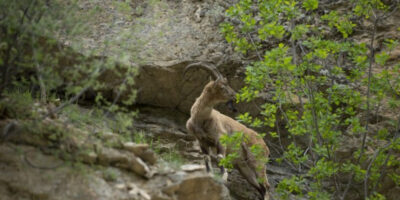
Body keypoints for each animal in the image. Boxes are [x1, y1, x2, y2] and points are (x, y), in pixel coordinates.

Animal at [186, 61, 270, 199]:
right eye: (222, 87)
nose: (235, 95)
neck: (202, 119)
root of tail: (265, 146)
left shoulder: (220, 139)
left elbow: (221, 157)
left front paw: (223, 179)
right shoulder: (202, 142)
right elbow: (207, 159)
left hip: (258, 161)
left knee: (266, 186)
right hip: (244, 168)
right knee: (261, 187)